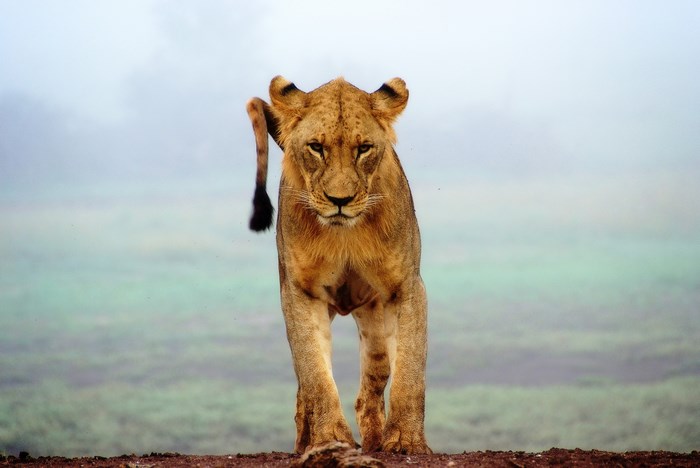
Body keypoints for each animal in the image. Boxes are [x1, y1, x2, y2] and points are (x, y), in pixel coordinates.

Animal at [245, 76, 430, 455]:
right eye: (316, 147)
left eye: (364, 149)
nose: (339, 200)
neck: (345, 234)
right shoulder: (301, 293)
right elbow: (315, 374)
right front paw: (330, 439)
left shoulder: (406, 287)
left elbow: (410, 368)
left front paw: (405, 441)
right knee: (303, 391)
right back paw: (305, 443)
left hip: (373, 322)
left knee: (371, 386)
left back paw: (374, 442)